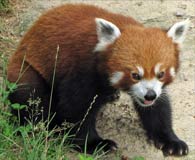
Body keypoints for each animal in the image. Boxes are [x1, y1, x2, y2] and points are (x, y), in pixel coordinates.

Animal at [7, 3, 189, 156]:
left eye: (161, 74)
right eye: (135, 75)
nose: (149, 95)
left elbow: (158, 109)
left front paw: (171, 140)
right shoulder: (82, 69)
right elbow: (76, 109)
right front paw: (95, 144)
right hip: (26, 70)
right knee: (31, 97)